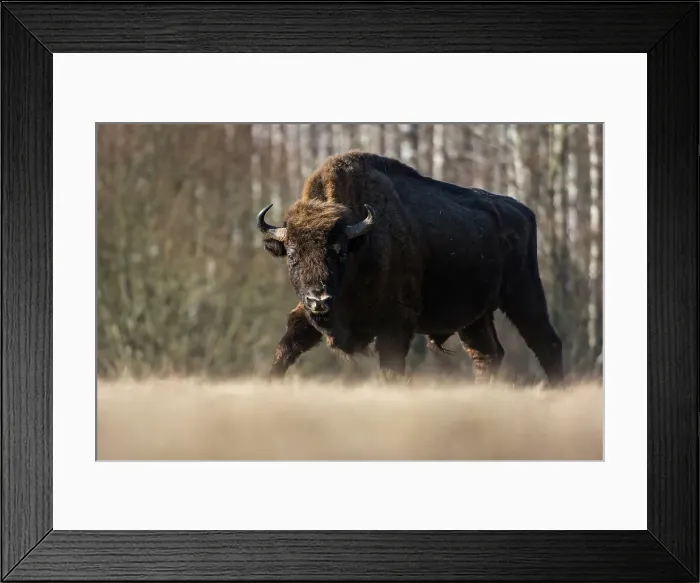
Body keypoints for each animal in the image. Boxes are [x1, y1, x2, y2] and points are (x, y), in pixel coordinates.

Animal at [257, 151, 563, 384]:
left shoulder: (395, 324)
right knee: (488, 354)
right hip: (475, 316)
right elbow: (286, 347)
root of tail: (524, 212)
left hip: (523, 294)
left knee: (546, 343)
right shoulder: (305, 315)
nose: (318, 300)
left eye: (340, 252)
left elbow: (391, 370)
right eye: (292, 255)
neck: (361, 243)